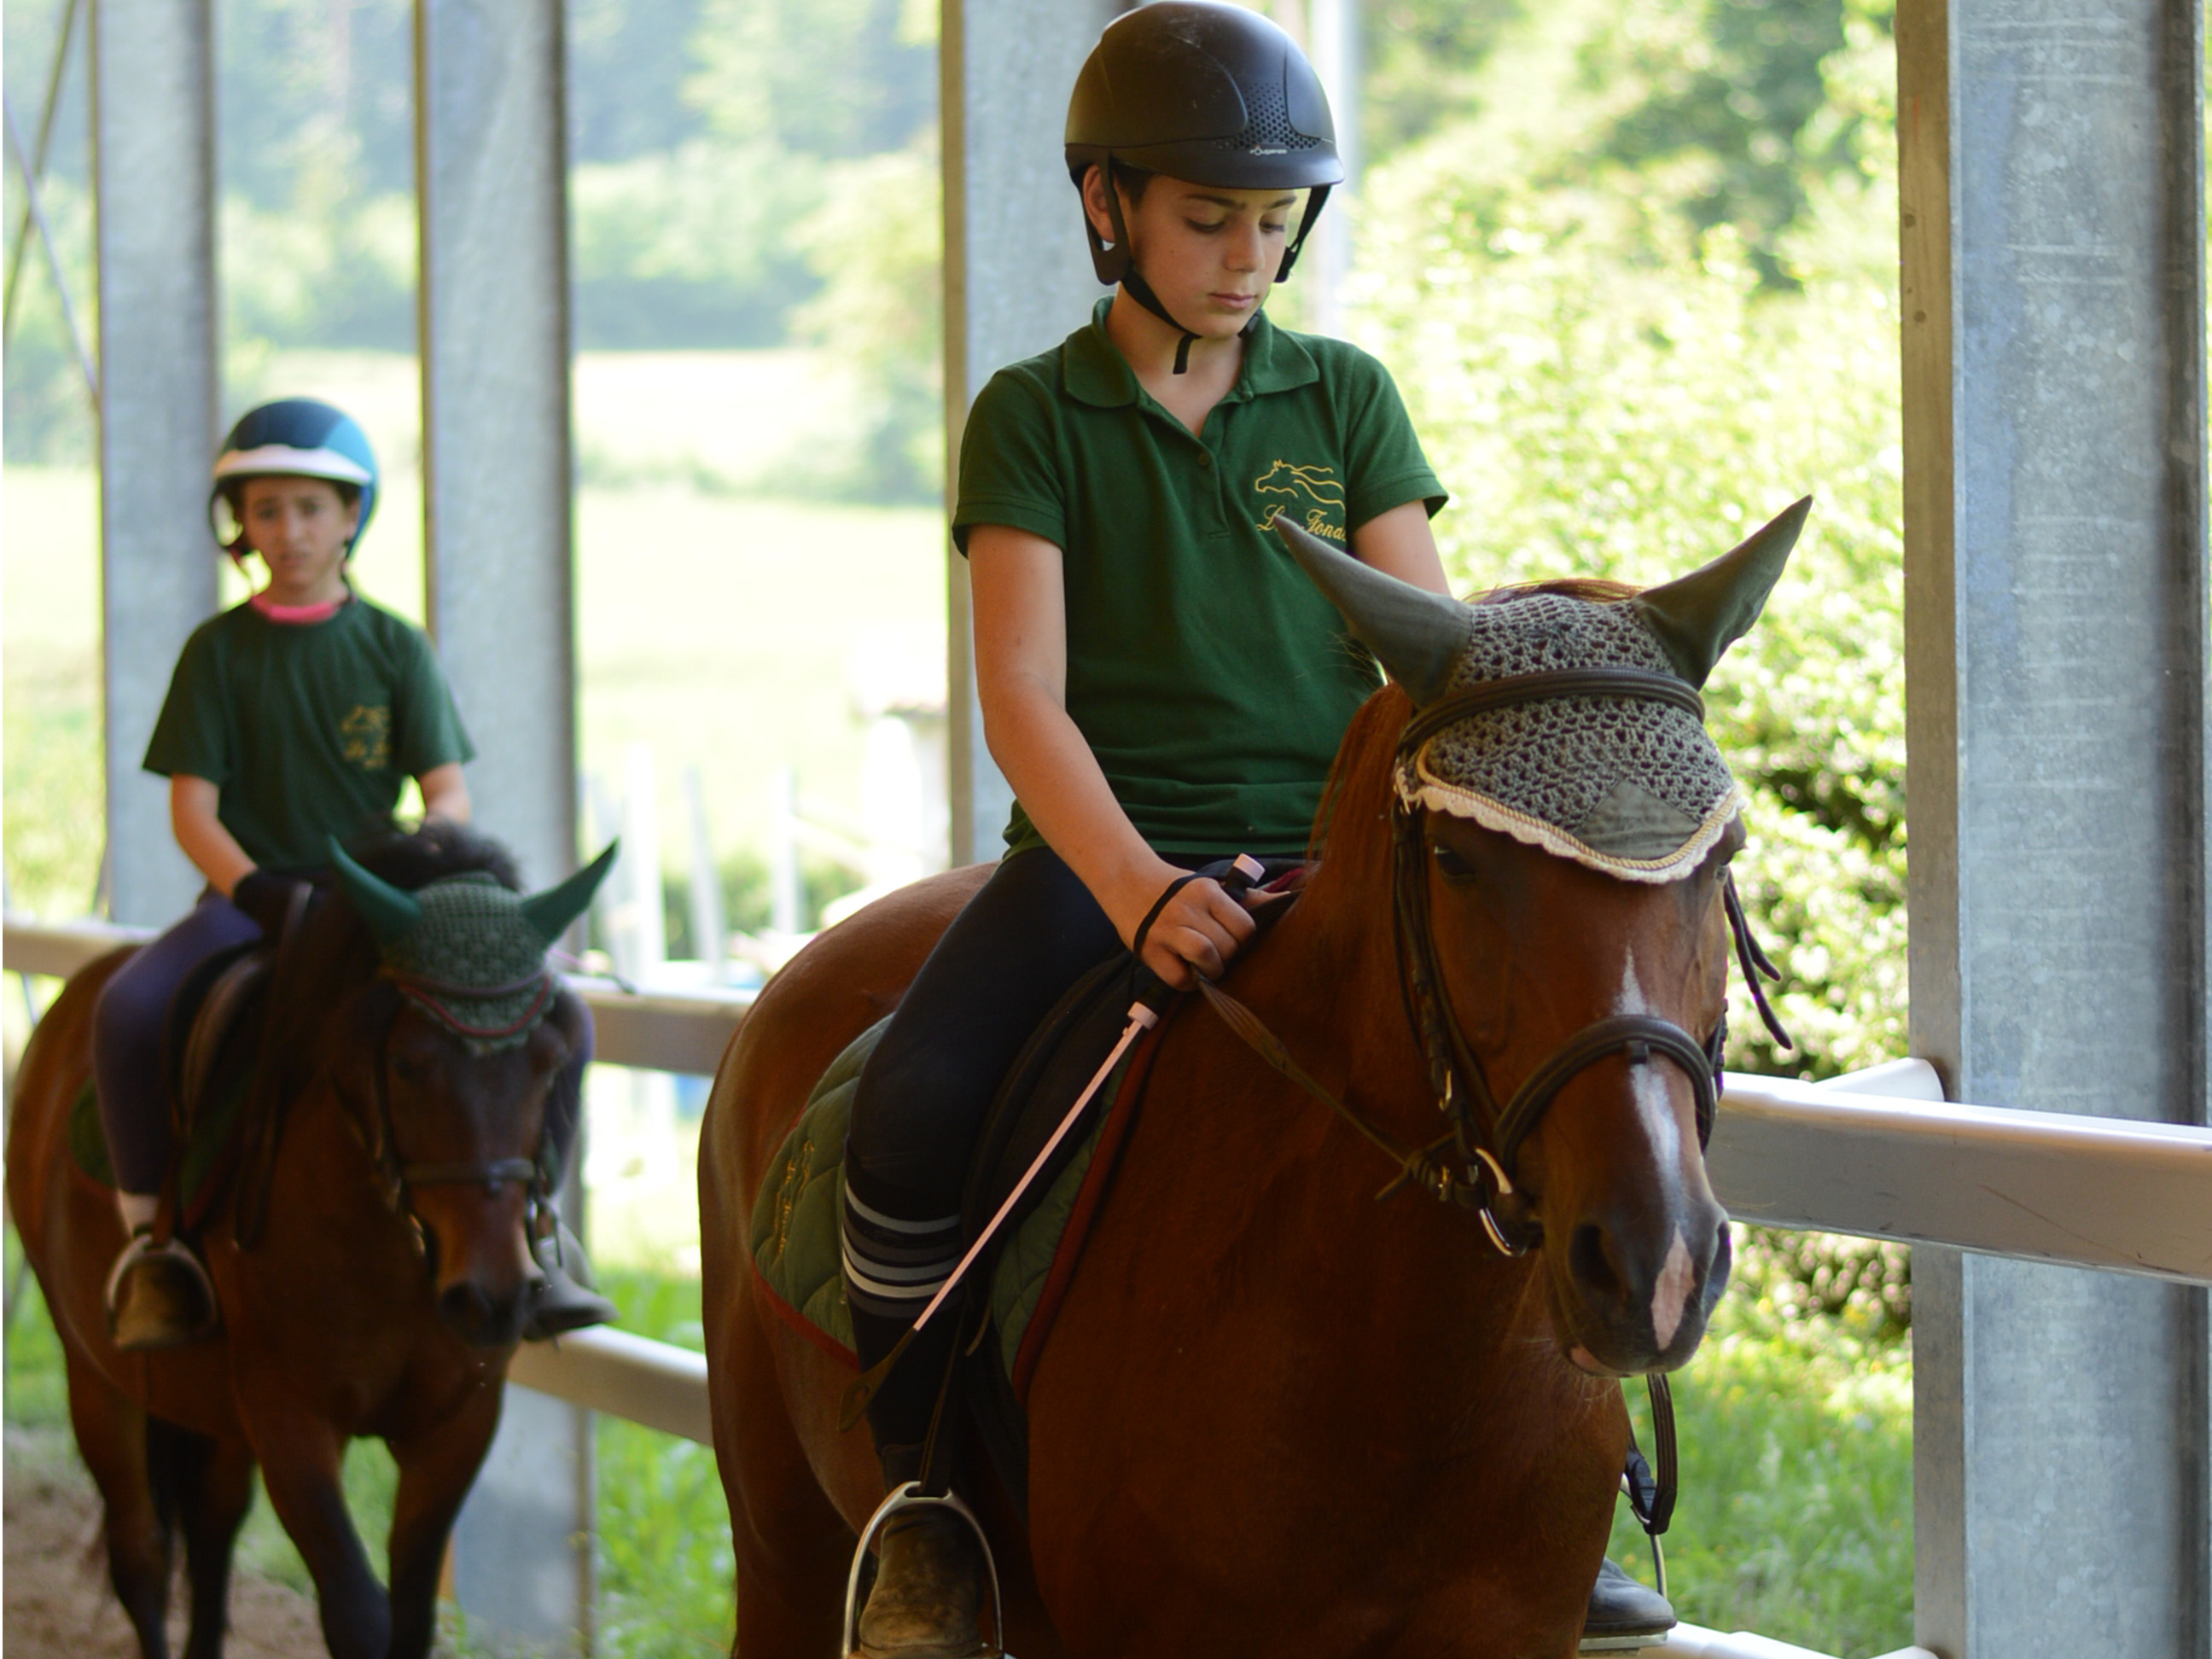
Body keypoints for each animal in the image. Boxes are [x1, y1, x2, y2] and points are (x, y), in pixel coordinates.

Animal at [10, 831, 614, 1659]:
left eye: (551, 1062)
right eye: (408, 1064)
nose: (493, 1296)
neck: (392, 1252)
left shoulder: (457, 1423)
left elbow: (411, 1618)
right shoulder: (289, 1417)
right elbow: (357, 1612)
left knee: (211, 1536)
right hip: (97, 1377)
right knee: (141, 1555)